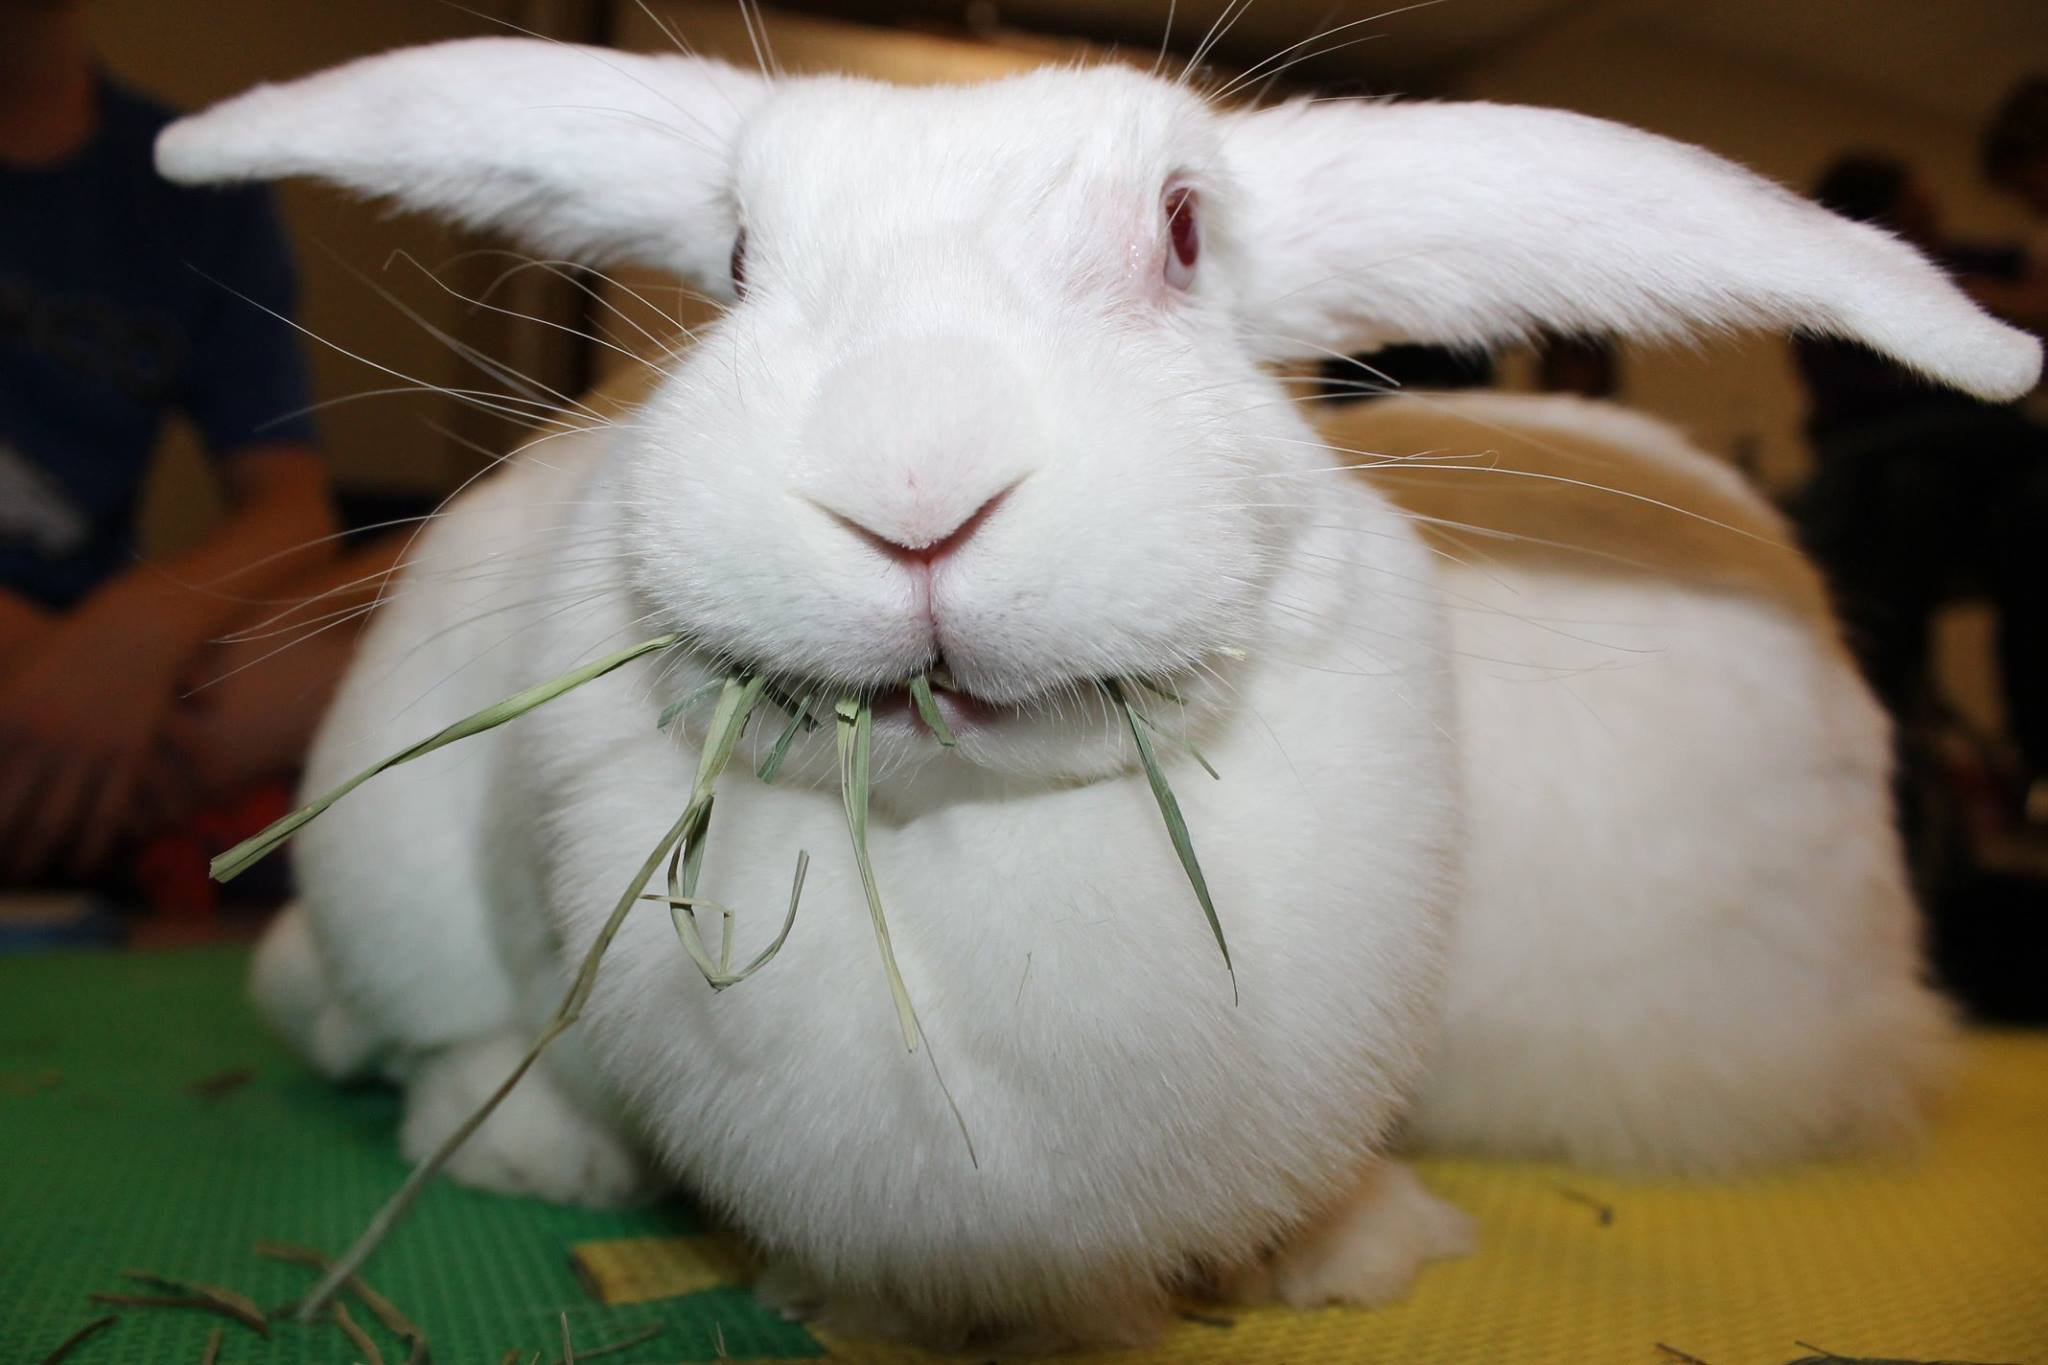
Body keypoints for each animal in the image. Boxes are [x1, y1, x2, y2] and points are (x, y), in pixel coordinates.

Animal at [155, 37, 2031, 1350]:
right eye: (741, 260)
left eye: (1185, 236)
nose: (912, 481)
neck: (966, 828)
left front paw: (1352, 1255)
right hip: (387, 884)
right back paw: (533, 1145)